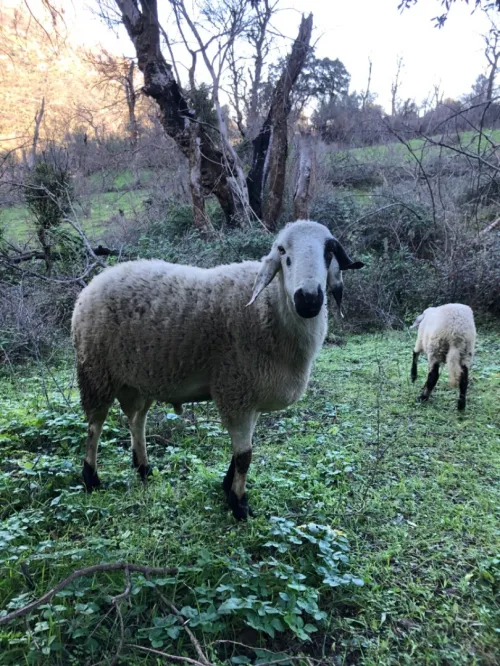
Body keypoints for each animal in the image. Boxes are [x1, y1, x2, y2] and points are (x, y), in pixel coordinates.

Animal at [71, 220, 363, 519]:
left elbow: (241, 452)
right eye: (282, 251)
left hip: (138, 379)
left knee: (136, 420)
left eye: (329, 251)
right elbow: (245, 456)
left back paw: (144, 468)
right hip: (95, 371)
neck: (268, 309)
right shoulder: (235, 390)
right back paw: (91, 478)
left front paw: (227, 488)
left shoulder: (251, 396)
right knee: (95, 426)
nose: (308, 299)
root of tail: (95, 282)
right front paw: (239, 504)